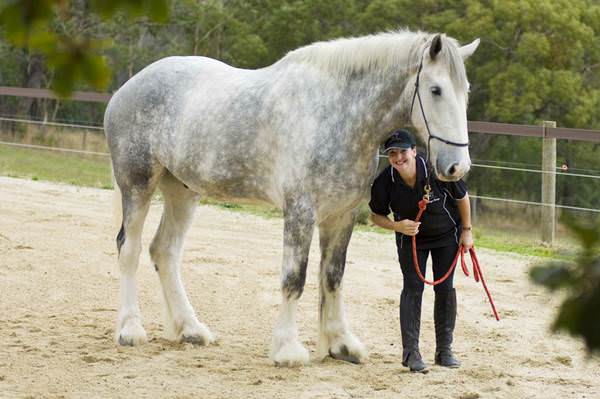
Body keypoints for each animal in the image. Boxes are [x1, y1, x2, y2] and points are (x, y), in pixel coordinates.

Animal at [103, 29, 478, 368]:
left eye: (465, 92)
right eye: (435, 89)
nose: (456, 167)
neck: (338, 113)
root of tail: (127, 88)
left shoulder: (341, 215)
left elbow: (333, 276)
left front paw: (342, 345)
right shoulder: (301, 211)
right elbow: (294, 278)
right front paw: (287, 350)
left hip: (182, 191)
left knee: (164, 252)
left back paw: (190, 330)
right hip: (137, 185)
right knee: (130, 249)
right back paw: (130, 330)